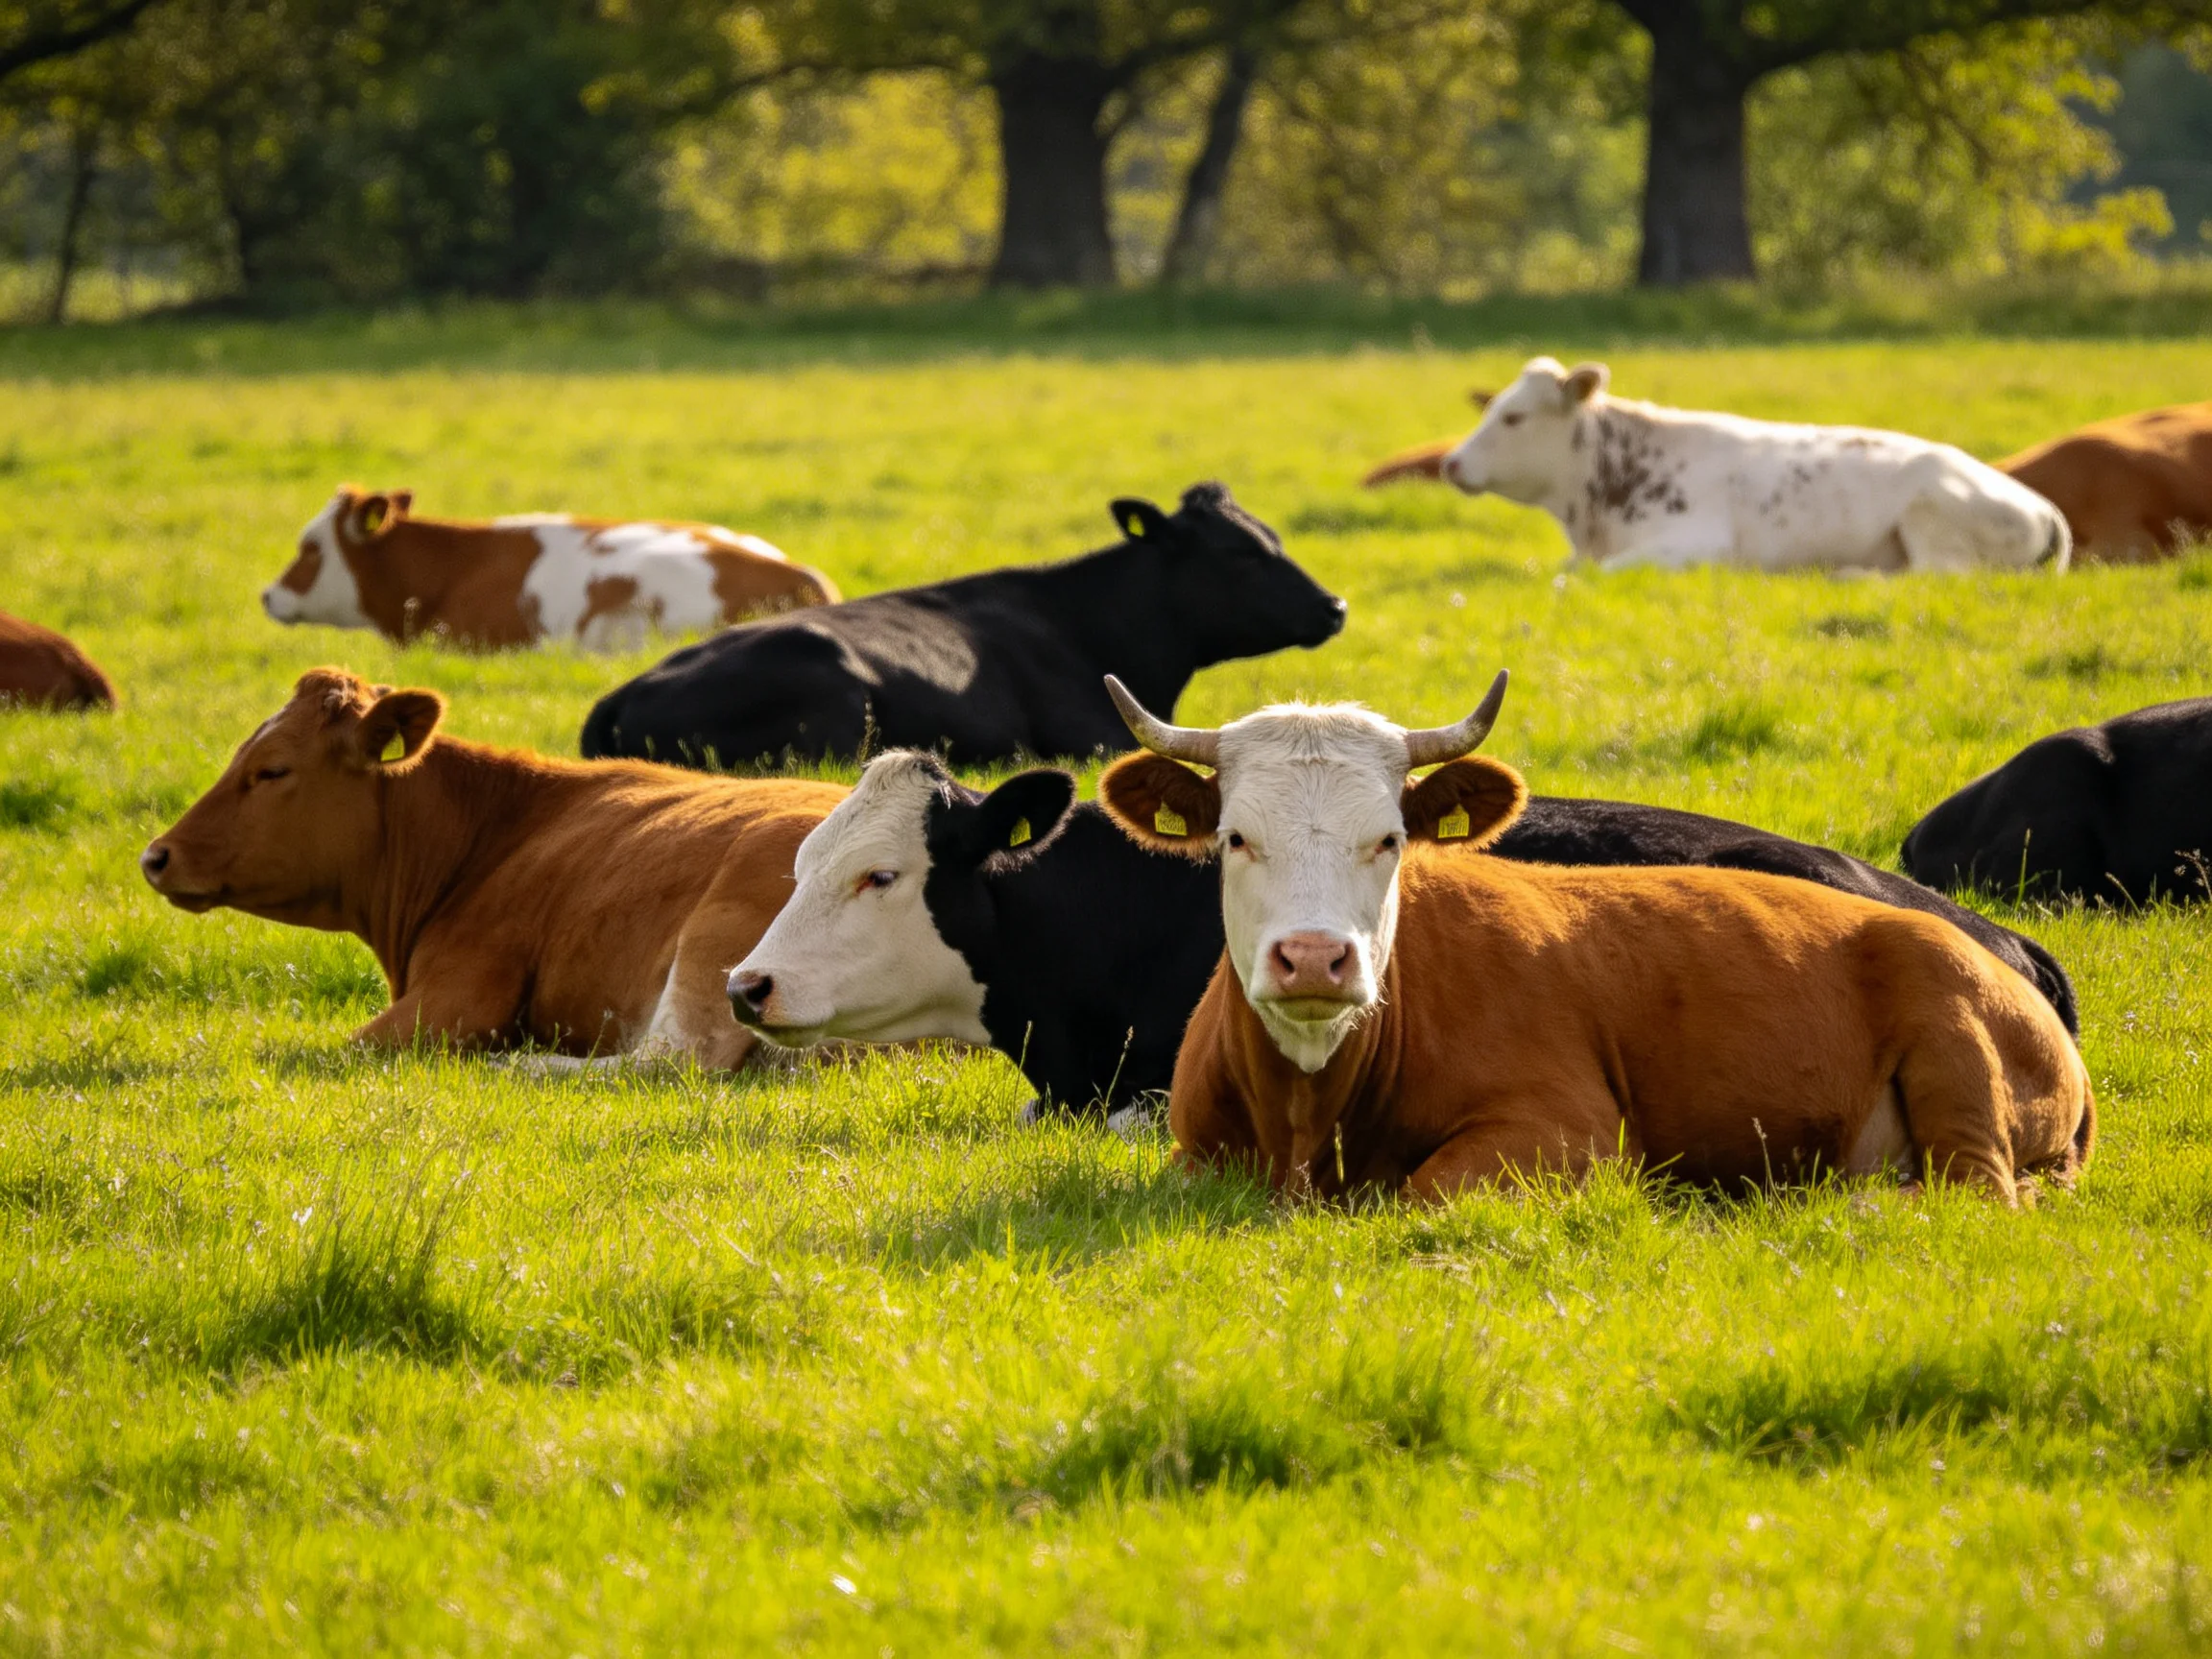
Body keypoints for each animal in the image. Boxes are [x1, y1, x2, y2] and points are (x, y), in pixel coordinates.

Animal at [1092, 674, 2092, 1205]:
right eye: (1234, 838)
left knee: (1986, 1189)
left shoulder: (1566, 1132)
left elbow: (1420, 1190)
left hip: (1960, 1069)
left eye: (1390, 839)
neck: (1309, 1116)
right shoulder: (1191, 1157)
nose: (1312, 958)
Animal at [1388, 357, 2072, 573]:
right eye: (1492, 406)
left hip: (1931, 516)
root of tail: (2044, 508)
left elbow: (1586, 577)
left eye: (1514, 417)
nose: (1450, 464)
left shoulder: (1698, 543)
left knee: (1934, 575)